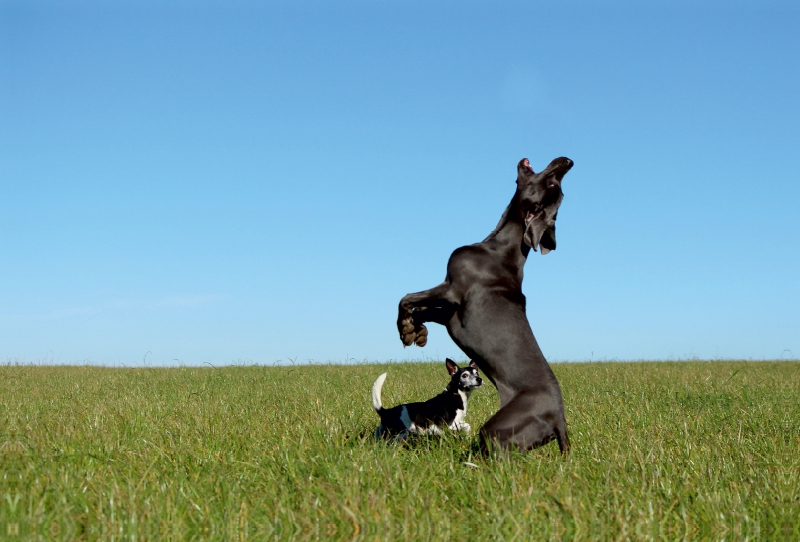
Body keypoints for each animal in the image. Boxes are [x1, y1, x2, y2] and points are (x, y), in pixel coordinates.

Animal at [396, 156, 572, 454]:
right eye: (555, 187)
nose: (567, 162)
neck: (499, 247)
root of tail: (559, 418)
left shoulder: (452, 291)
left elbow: (406, 298)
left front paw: (406, 329)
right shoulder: (451, 315)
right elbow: (422, 310)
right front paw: (416, 331)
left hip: (498, 429)